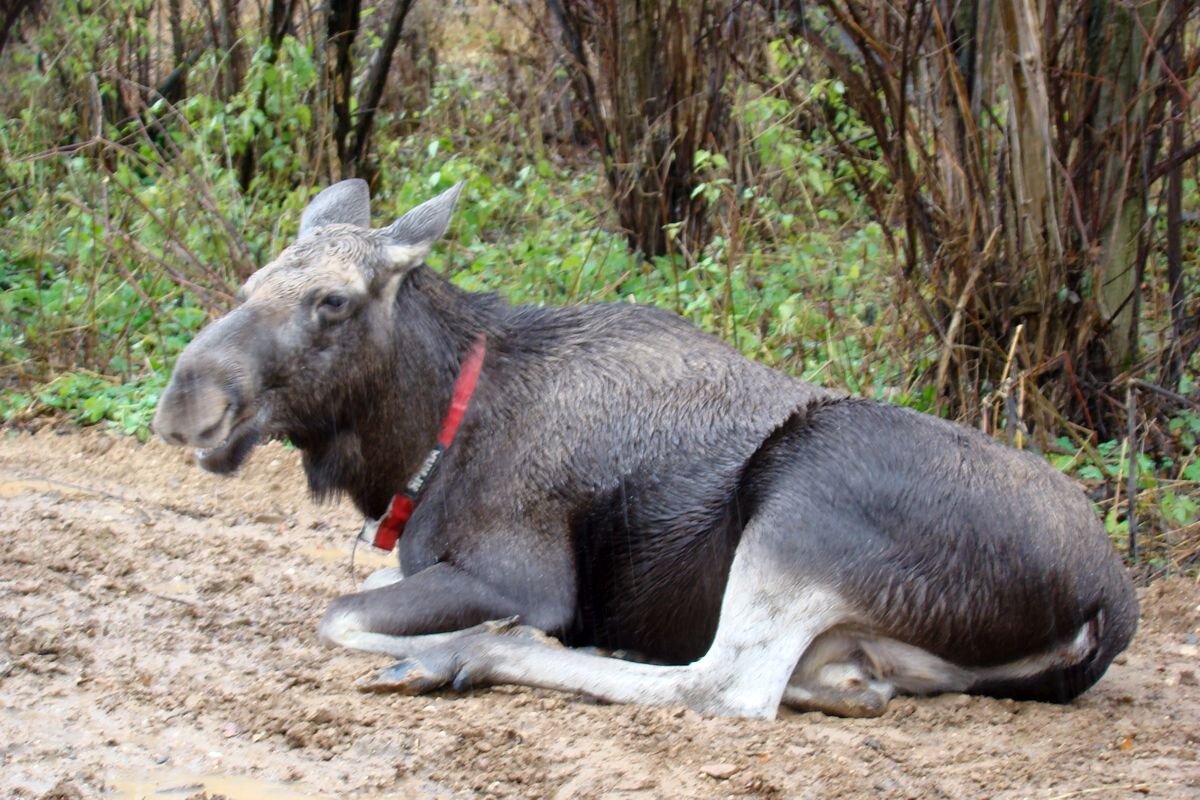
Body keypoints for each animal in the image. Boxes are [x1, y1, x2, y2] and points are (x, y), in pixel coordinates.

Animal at [154, 179, 1137, 719]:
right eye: (249, 283)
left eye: (333, 302)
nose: (187, 405)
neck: (422, 445)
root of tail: (1111, 601)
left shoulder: (525, 578)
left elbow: (338, 614)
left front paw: (470, 638)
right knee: (823, 675)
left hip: (806, 486)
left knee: (726, 685)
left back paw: (470, 654)